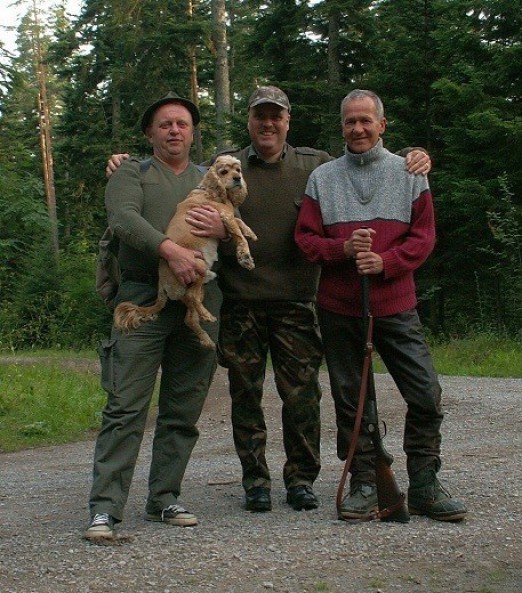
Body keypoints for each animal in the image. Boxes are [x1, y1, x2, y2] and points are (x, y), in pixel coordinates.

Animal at [113, 155, 257, 348]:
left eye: (238, 170)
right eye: (224, 172)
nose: (238, 179)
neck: (210, 190)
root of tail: (161, 286)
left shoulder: (226, 218)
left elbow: (240, 223)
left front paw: (251, 232)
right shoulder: (224, 215)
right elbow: (238, 234)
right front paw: (245, 257)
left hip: (200, 282)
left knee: (190, 316)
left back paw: (206, 338)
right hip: (198, 265)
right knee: (191, 298)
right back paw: (207, 316)